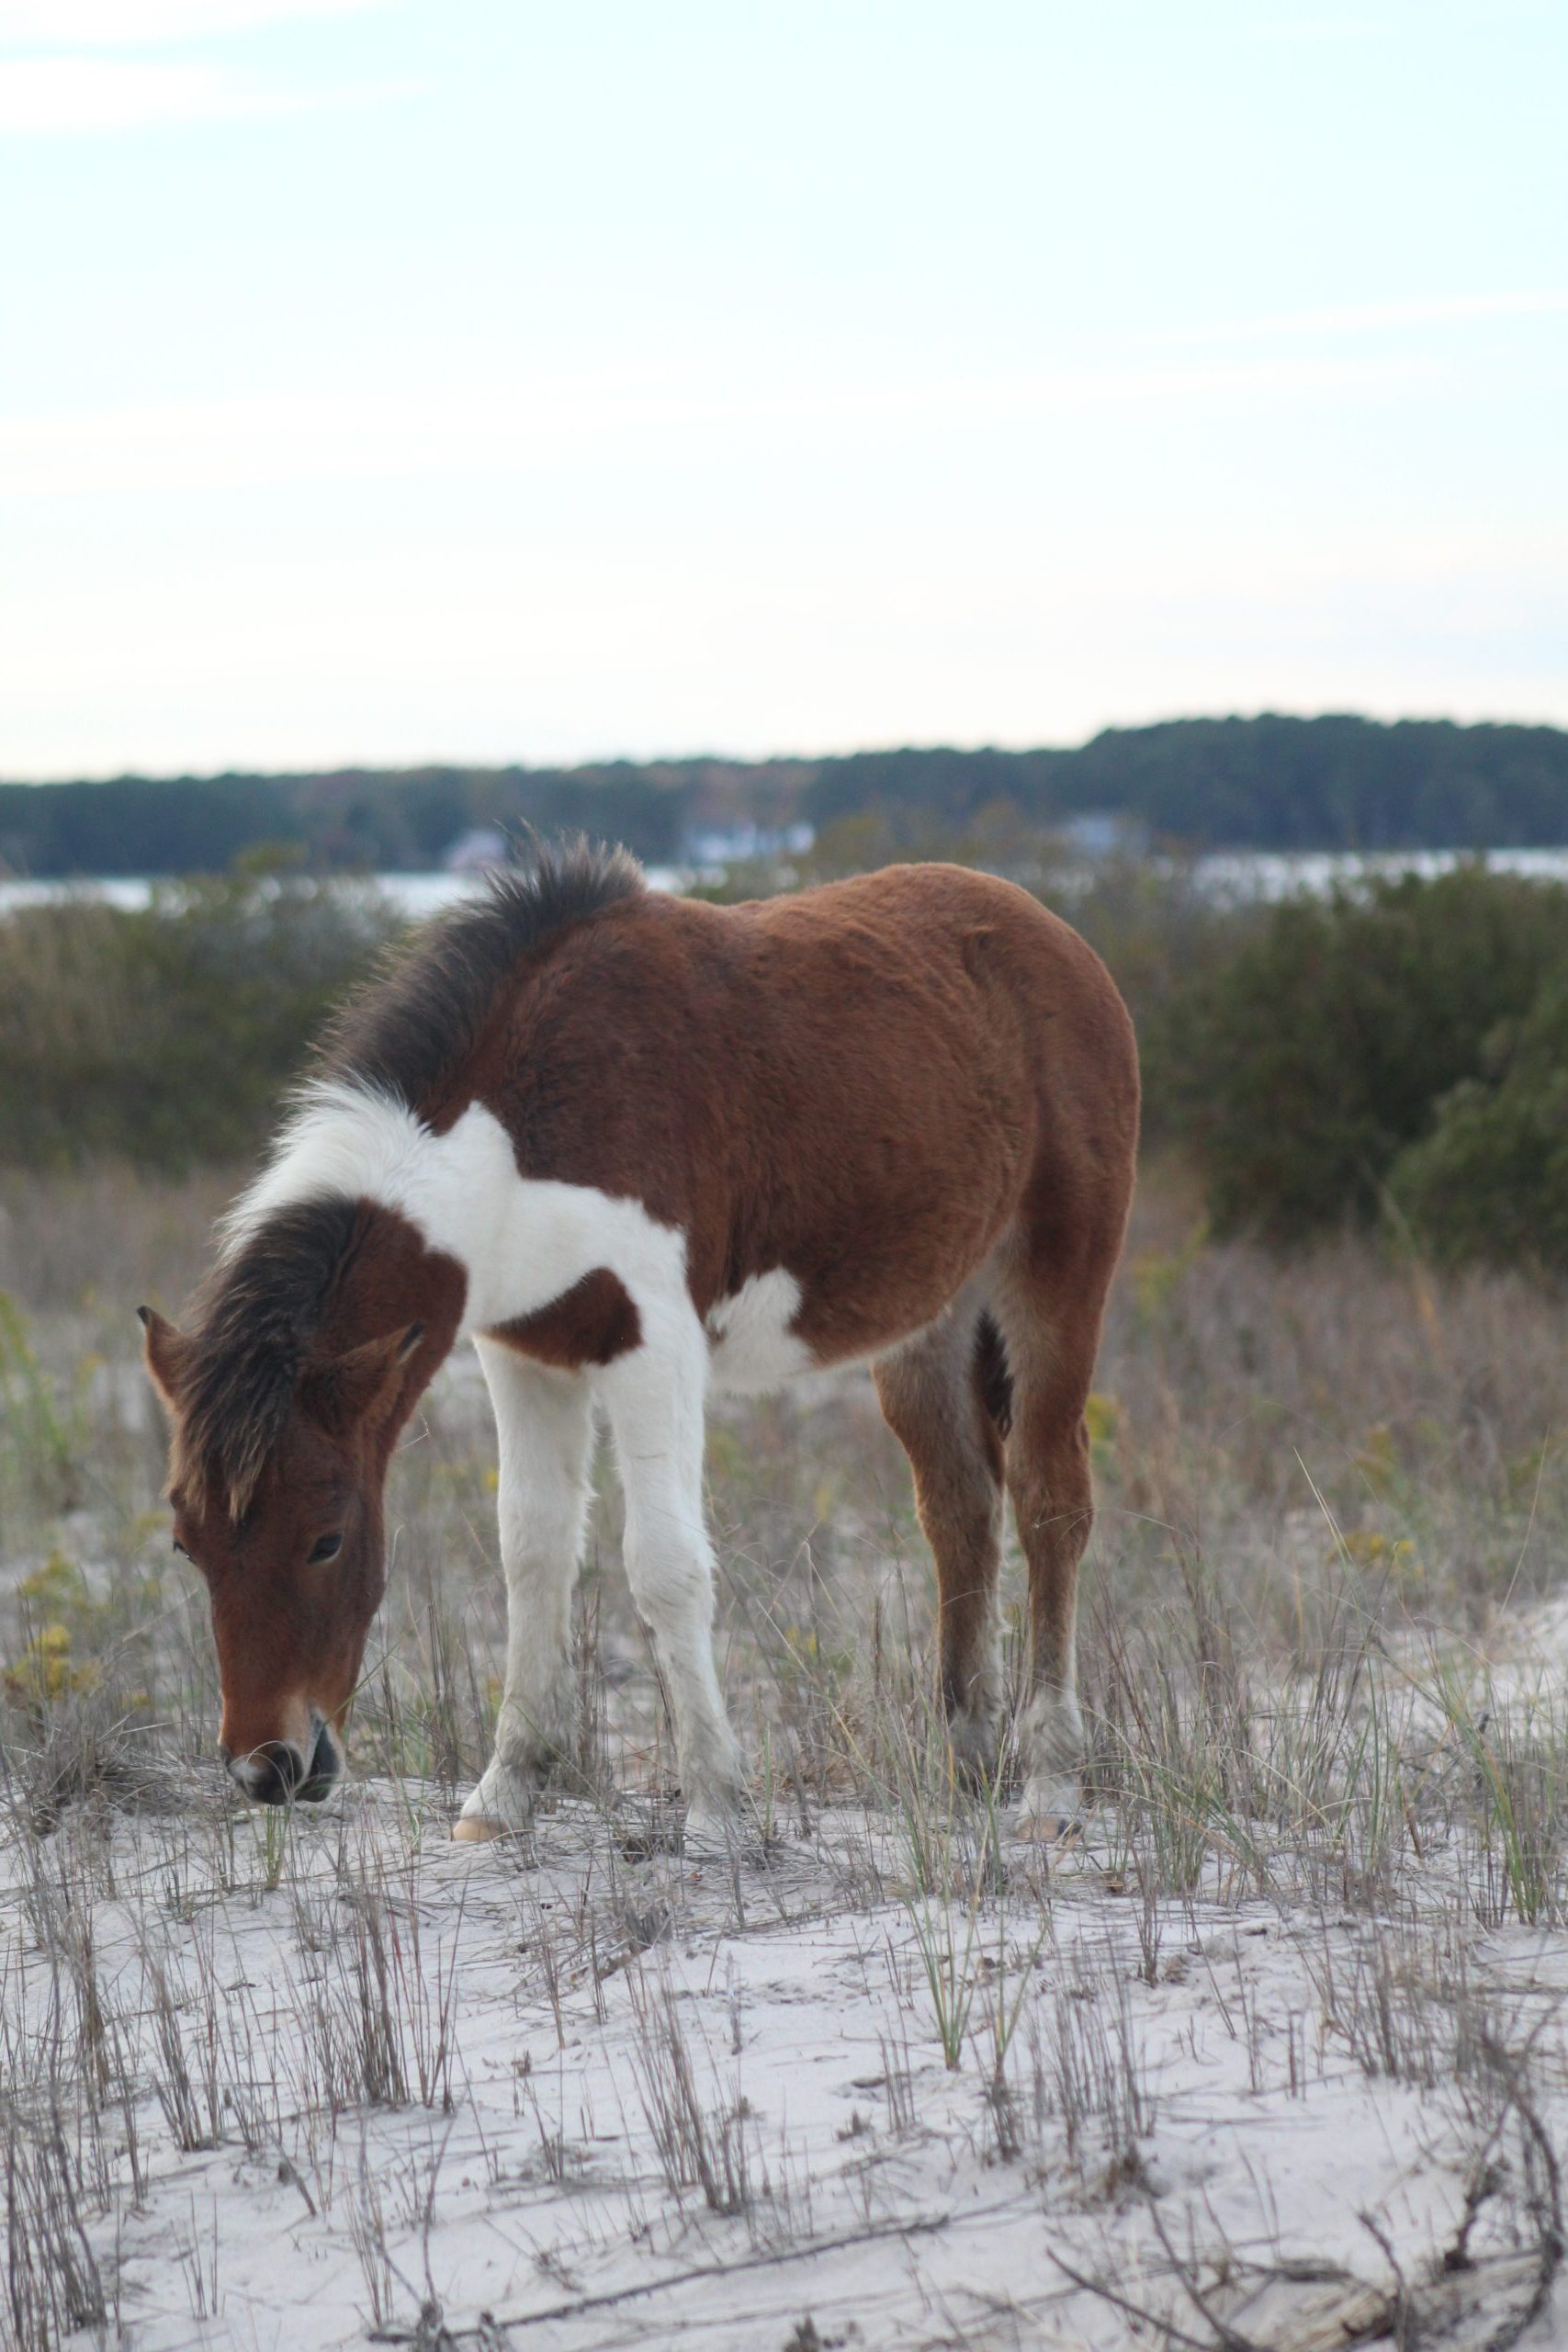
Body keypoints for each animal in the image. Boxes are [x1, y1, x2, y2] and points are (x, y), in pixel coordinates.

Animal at [141, 840, 1139, 1844]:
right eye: (187, 1547)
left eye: (326, 1541)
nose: (268, 1767)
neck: (523, 1133)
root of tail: (1057, 938)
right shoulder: (524, 1355)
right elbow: (533, 1553)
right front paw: (505, 1792)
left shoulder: (652, 1348)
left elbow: (663, 1565)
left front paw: (715, 1805)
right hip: (930, 1318)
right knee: (959, 1509)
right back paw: (966, 1766)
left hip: (1053, 1277)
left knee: (1050, 1500)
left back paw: (1051, 1783)